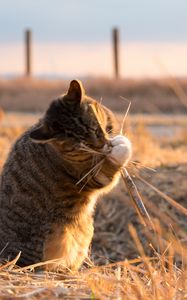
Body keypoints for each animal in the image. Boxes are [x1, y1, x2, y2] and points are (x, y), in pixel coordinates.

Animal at [0, 80, 131, 272]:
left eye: (95, 130)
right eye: (83, 145)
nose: (102, 145)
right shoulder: (91, 177)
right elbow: (110, 166)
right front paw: (120, 147)